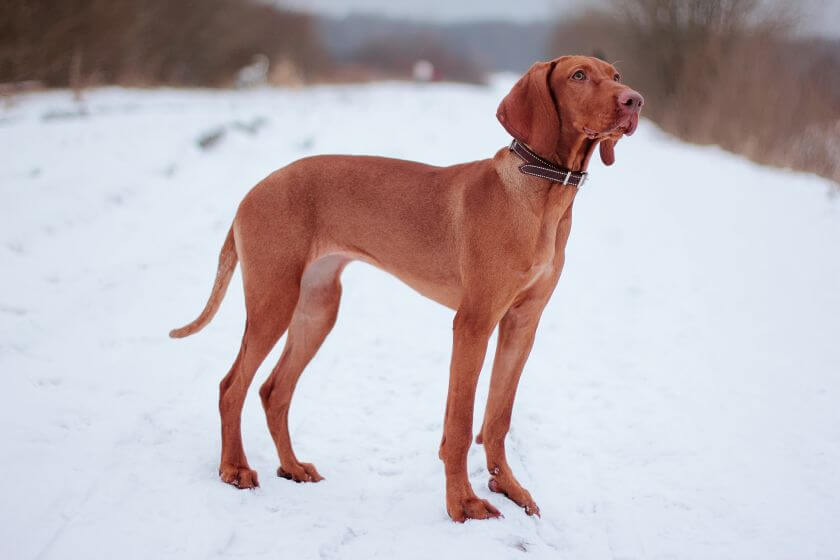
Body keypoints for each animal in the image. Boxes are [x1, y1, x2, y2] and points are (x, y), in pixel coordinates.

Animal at [171, 55, 644, 520]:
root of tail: (252, 191)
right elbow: (461, 423)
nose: (634, 100)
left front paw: (508, 486)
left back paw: (292, 467)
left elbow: (497, 418)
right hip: (274, 300)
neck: (541, 192)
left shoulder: (522, 323)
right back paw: (234, 468)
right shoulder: (474, 322)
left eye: (617, 75)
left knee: (274, 390)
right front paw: (463, 503)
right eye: (578, 76)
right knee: (232, 386)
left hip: (318, 309)